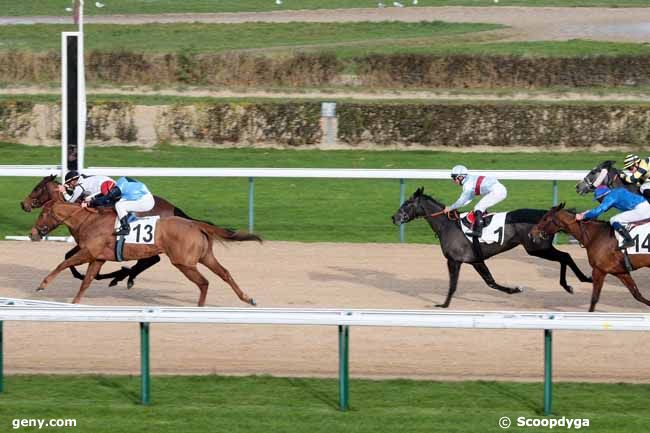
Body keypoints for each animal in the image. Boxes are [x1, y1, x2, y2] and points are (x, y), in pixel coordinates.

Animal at [20, 174, 210, 288]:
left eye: (37, 188)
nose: (23, 204)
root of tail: (173, 209)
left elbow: (72, 259)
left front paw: (93, 276)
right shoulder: (86, 243)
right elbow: (68, 256)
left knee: (151, 260)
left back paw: (125, 276)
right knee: (150, 260)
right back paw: (126, 276)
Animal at [34, 200, 260, 308]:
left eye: (43, 213)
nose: (33, 233)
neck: (89, 221)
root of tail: (195, 224)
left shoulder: (88, 252)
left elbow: (63, 264)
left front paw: (42, 285)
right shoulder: (98, 258)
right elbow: (86, 281)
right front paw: (75, 304)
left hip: (184, 263)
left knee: (204, 282)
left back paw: (200, 306)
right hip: (205, 257)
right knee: (225, 274)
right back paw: (247, 298)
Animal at [388, 186, 588, 308]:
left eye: (407, 204)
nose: (393, 217)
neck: (448, 225)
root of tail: (547, 215)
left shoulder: (454, 260)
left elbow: (453, 284)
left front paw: (443, 304)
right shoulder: (475, 260)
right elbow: (490, 281)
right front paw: (514, 290)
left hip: (537, 248)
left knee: (565, 256)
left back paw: (578, 281)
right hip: (539, 248)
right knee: (565, 256)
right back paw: (577, 281)